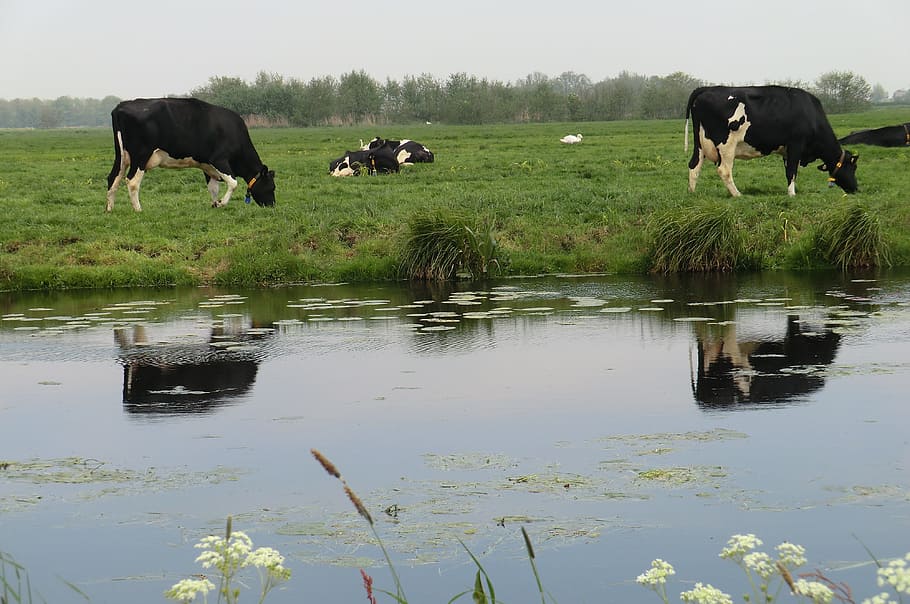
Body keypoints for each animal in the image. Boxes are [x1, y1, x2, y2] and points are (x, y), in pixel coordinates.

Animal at [106, 97, 276, 212]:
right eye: (272, 187)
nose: (272, 205)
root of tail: (121, 106)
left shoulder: (207, 165)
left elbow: (213, 187)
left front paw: (215, 204)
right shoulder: (219, 159)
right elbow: (233, 183)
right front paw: (222, 203)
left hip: (121, 156)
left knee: (113, 178)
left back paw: (109, 209)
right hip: (141, 156)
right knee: (132, 181)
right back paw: (138, 209)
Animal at [685, 85, 858, 197]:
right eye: (853, 167)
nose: (856, 188)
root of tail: (706, 88)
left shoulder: (787, 151)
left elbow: (788, 172)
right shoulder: (796, 144)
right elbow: (792, 172)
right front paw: (792, 195)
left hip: (699, 143)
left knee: (694, 165)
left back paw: (693, 193)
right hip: (726, 144)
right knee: (724, 170)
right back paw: (737, 194)